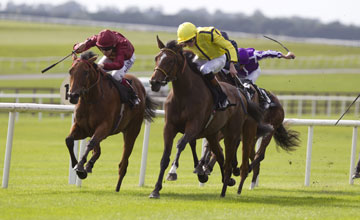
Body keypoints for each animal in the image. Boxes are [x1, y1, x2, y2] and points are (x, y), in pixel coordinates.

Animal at [64, 50, 156, 192]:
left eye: (85, 72)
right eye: (70, 71)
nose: (73, 96)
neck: (91, 99)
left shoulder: (104, 127)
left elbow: (90, 144)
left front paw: (80, 167)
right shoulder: (83, 128)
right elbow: (69, 140)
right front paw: (78, 167)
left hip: (131, 131)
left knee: (123, 162)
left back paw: (117, 186)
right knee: (97, 150)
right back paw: (89, 165)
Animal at [147, 37, 268, 199]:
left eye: (170, 61)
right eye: (156, 58)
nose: (154, 82)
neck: (184, 95)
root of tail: (241, 92)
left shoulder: (194, 126)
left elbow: (181, 144)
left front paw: (173, 172)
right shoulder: (169, 127)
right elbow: (165, 157)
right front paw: (156, 189)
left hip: (232, 131)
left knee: (228, 151)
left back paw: (227, 178)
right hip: (212, 133)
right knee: (220, 153)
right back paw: (224, 178)